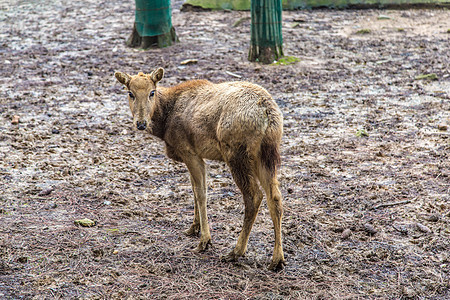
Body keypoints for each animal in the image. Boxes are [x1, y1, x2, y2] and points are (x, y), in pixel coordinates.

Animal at [116, 68, 284, 270]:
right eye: (130, 93)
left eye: (152, 92)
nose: (141, 123)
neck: (164, 124)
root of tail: (268, 113)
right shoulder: (195, 153)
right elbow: (194, 191)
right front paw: (193, 228)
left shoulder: (189, 151)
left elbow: (202, 193)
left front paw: (205, 240)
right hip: (266, 155)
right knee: (275, 197)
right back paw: (277, 259)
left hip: (237, 154)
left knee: (254, 196)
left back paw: (236, 252)